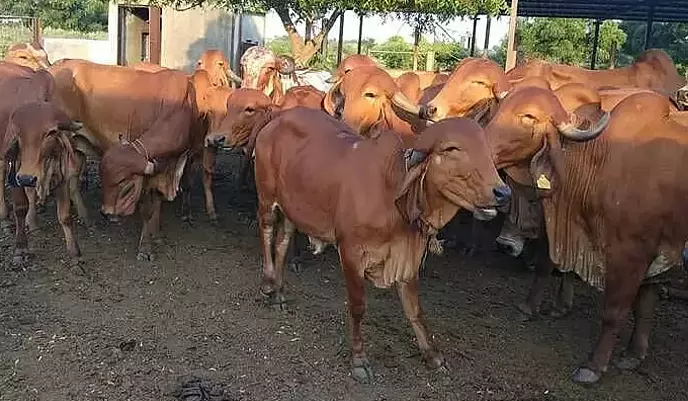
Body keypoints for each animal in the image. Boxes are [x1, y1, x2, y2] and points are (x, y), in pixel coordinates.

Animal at [4, 101, 83, 265]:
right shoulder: (14, 170)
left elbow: (64, 215)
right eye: (18, 133)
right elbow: (20, 209)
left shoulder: (61, 173)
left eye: (51, 133)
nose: (27, 178)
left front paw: (74, 252)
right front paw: (20, 248)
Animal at [253, 107, 511, 382]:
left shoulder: (408, 259)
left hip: (292, 210)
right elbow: (358, 306)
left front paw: (432, 355)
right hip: (267, 198)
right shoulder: (351, 252)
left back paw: (279, 294)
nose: (503, 193)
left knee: (282, 243)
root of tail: (277, 120)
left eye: (485, 147)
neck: (390, 192)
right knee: (266, 231)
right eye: (451, 148)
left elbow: (414, 310)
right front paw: (358, 359)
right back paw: (268, 283)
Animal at [486, 86, 688, 384]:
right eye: (500, 107)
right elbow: (644, 307)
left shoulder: (630, 254)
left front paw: (594, 366)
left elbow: (615, 311)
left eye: (528, 117)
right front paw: (633, 355)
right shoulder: (656, 254)